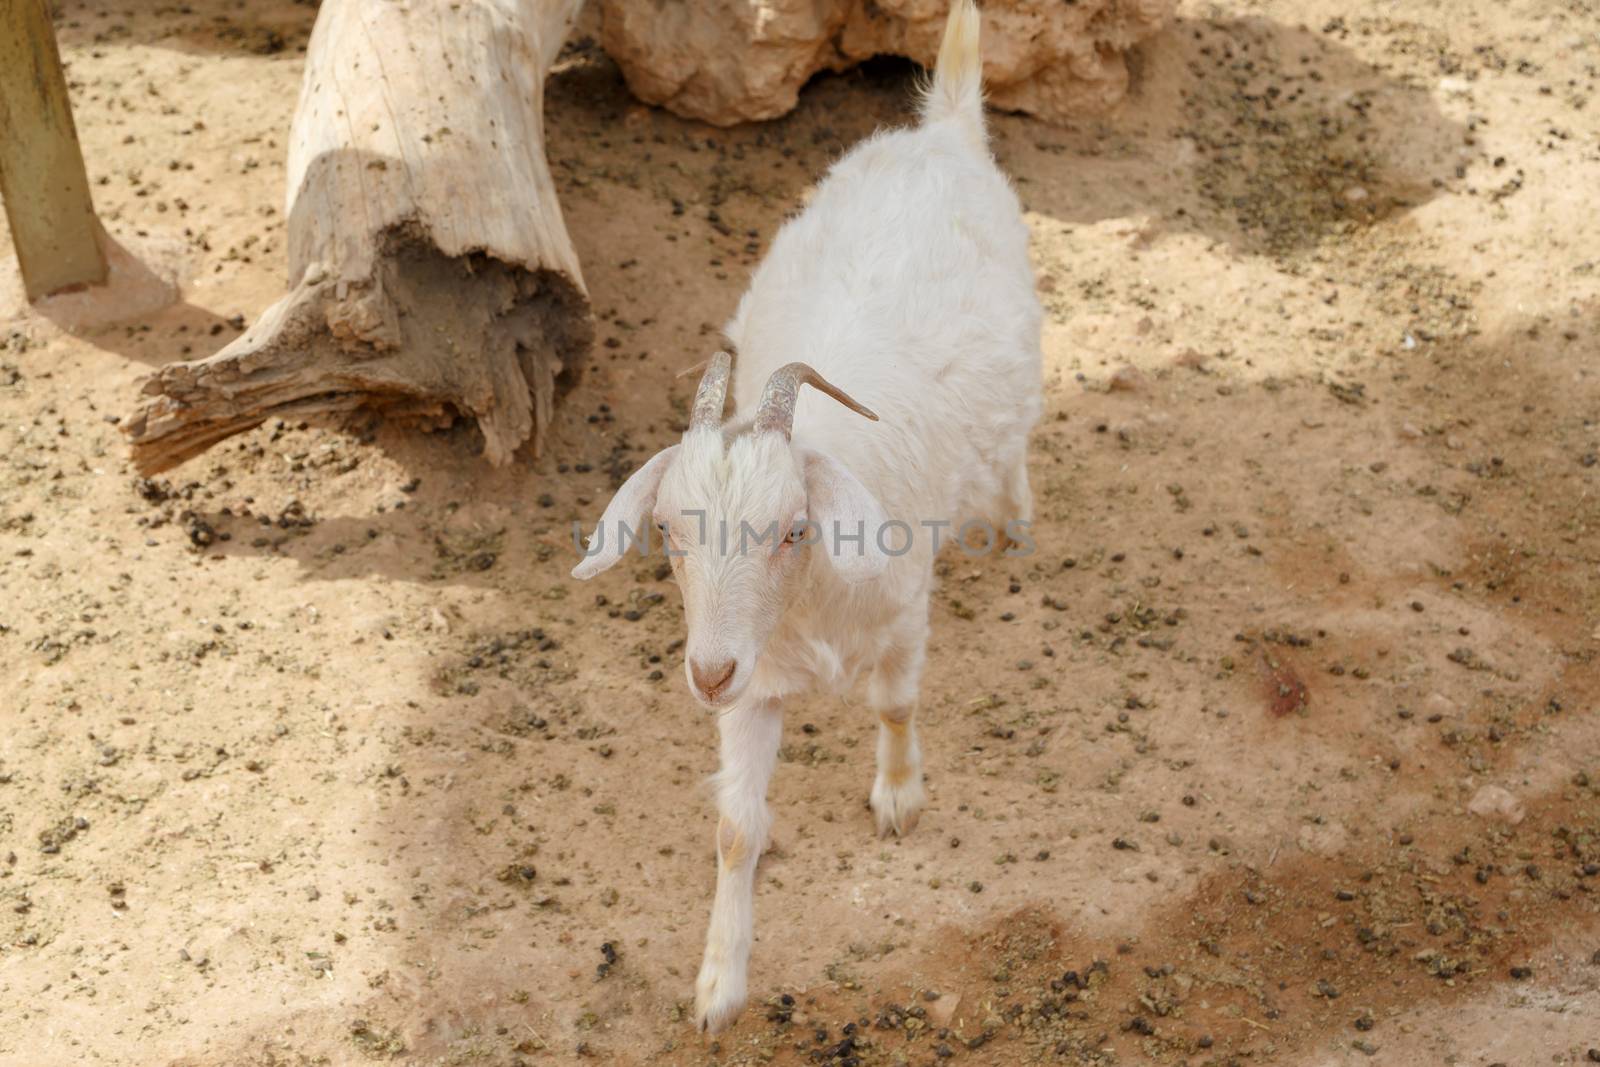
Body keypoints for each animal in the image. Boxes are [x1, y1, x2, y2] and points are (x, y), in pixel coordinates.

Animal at [569, 0, 1043, 1036]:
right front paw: (718, 983)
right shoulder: (755, 683)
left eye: (791, 528)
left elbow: (896, 702)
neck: (813, 602)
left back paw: (1015, 519)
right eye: (668, 533)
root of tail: (943, 129)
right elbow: (734, 828)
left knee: (1014, 448)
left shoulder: (904, 615)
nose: (704, 672)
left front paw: (899, 795)